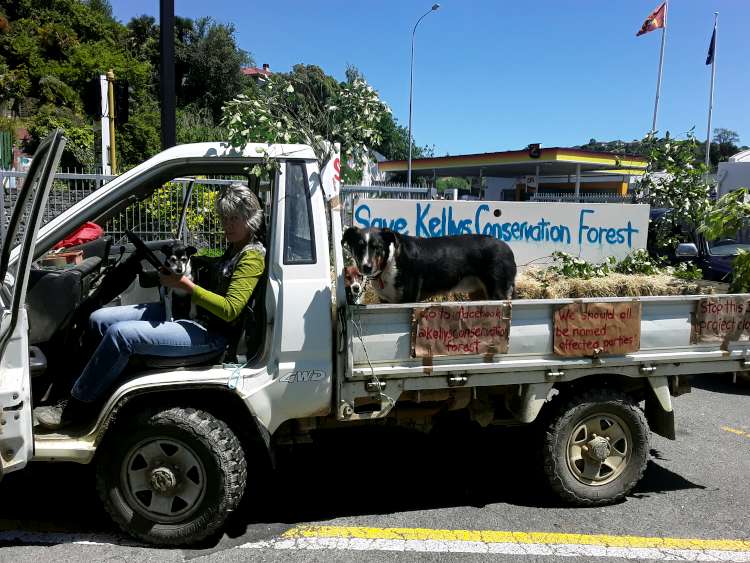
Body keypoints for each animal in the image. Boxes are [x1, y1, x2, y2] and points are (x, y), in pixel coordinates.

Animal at [346, 227, 516, 304]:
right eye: (359, 247)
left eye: (377, 247)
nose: (366, 267)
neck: (390, 262)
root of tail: (508, 248)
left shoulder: (409, 298)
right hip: (479, 294)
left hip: (497, 293)